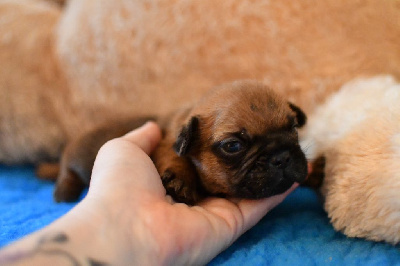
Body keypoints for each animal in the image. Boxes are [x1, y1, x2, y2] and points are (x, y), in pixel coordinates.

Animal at [40, 81, 308, 204]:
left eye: (294, 128)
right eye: (233, 146)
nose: (281, 157)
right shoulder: (165, 144)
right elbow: (176, 159)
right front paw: (181, 181)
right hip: (74, 165)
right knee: (66, 174)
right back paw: (64, 192)